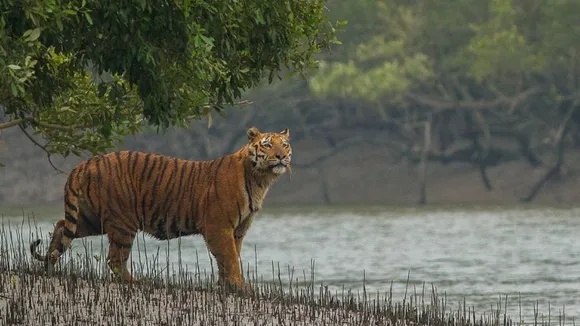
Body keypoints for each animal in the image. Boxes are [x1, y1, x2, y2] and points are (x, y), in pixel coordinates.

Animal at [30, 126, 292, 292]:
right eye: (267, 145)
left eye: (285, 145)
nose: (281, 156)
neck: (260, 179)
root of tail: (85, 163)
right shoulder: (219, 226)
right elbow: (229, 258)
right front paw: (239, 286)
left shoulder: (237, 230)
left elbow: (230, 258)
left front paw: (227, 286)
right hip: (123, 222)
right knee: (114, 258)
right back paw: (135, 282)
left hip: (91, 218)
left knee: (61, 226)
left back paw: (49, 267)